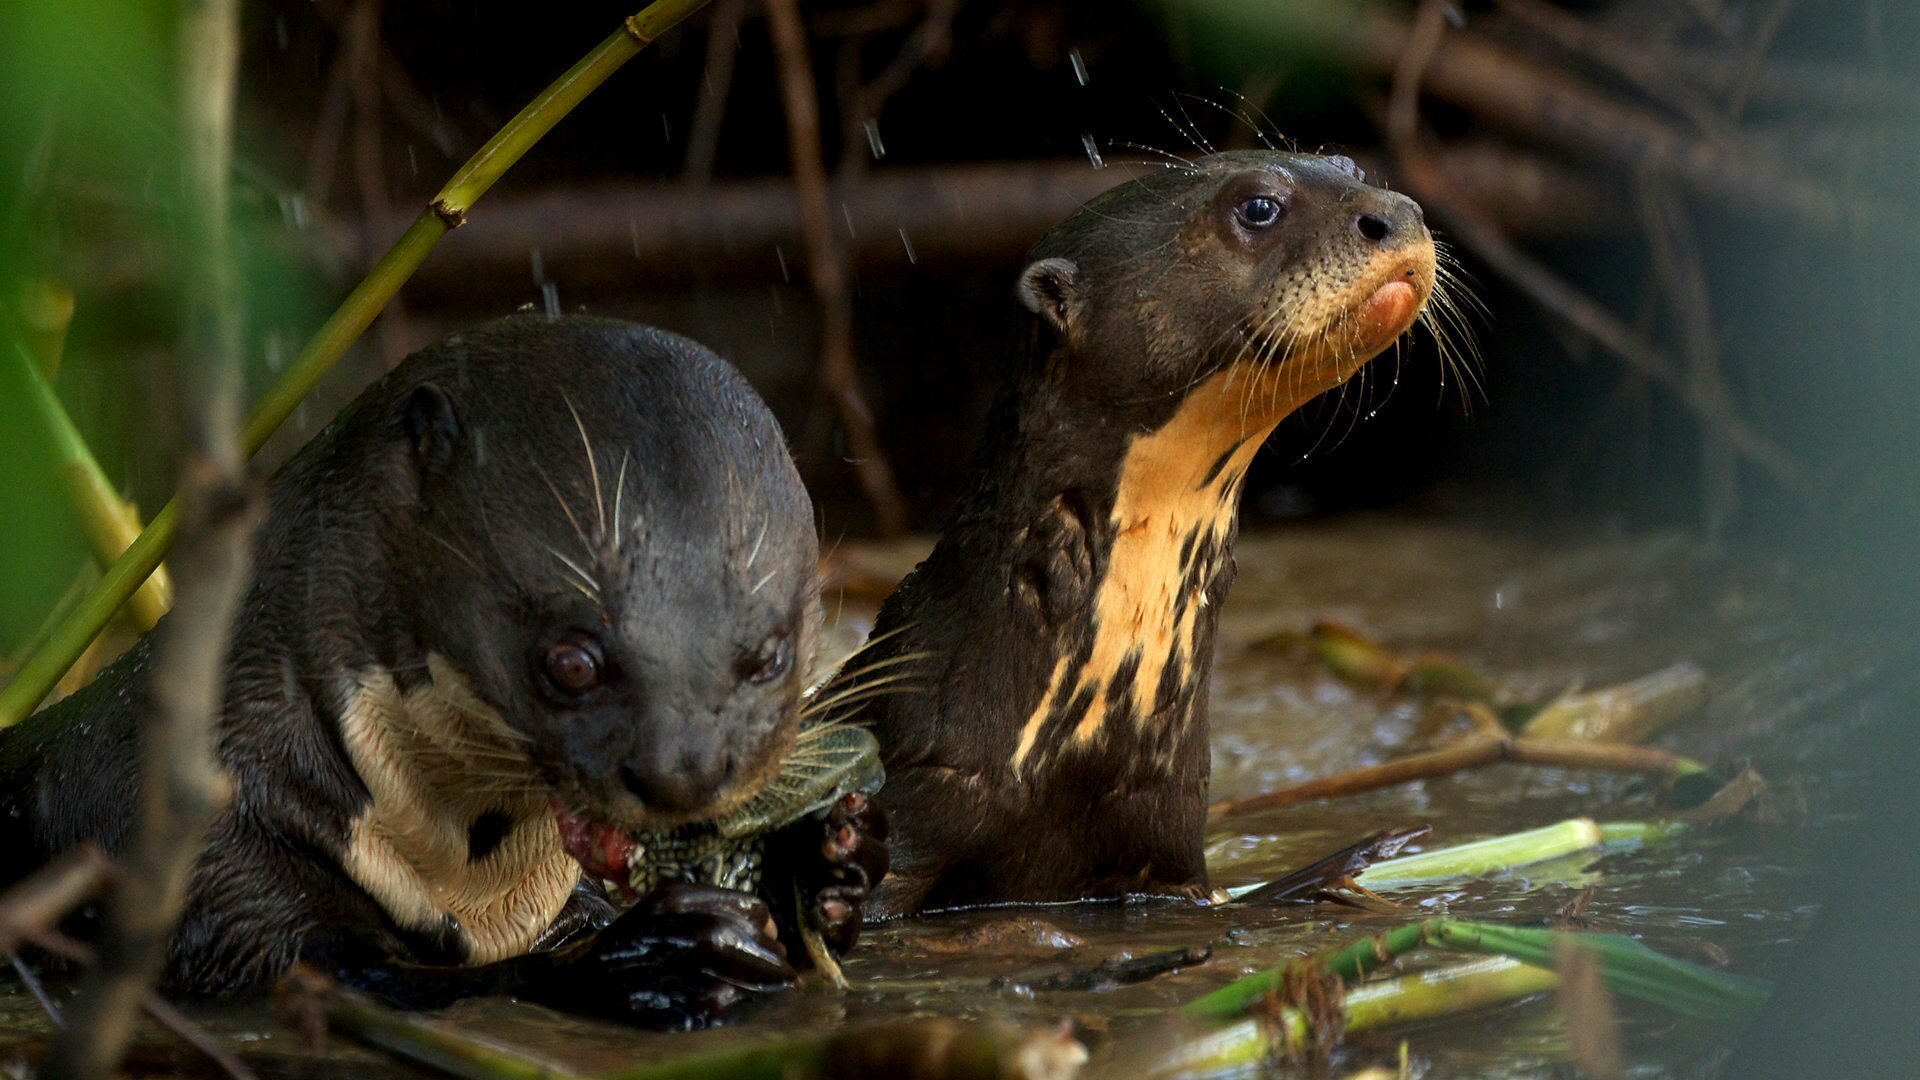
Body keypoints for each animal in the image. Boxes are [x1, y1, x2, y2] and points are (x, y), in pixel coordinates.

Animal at [0, 311, 883, 1022]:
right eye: (571, 660)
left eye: (769, 655)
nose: (685, 772)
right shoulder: (203, 856)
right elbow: (358, 974)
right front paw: (654, 956)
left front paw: (832, 863)